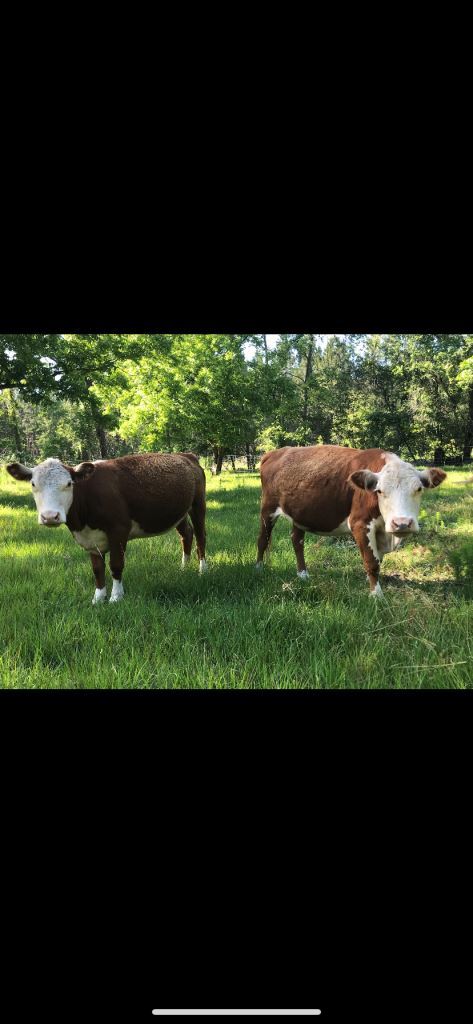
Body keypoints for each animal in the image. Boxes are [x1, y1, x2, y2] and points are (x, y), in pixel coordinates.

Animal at [5, 452, 204, 602]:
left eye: (69, 483)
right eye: (33, 484)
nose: (50, 516)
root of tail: (186, 455)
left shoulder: (119, 530)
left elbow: (116, 564)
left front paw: (116, 597)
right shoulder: (90, 538)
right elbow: (97, 569)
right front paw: (98, 598)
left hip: (198, 505)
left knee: (201, 537)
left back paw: (203, 570)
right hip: (180, 513)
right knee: (186, 534)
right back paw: (184, 568)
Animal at [256, 444, 444, 598]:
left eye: (419, 489)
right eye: (380, 491)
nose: (402, 523)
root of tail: (275, 452)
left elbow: (378, 559)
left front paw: (372, 583)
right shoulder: (360, 524)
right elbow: (371, 562)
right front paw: (376, 595)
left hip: (300, 513)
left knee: (297, 540)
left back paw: (303, 574)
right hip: (267, 508)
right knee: (263, 539)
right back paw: (259, 568)